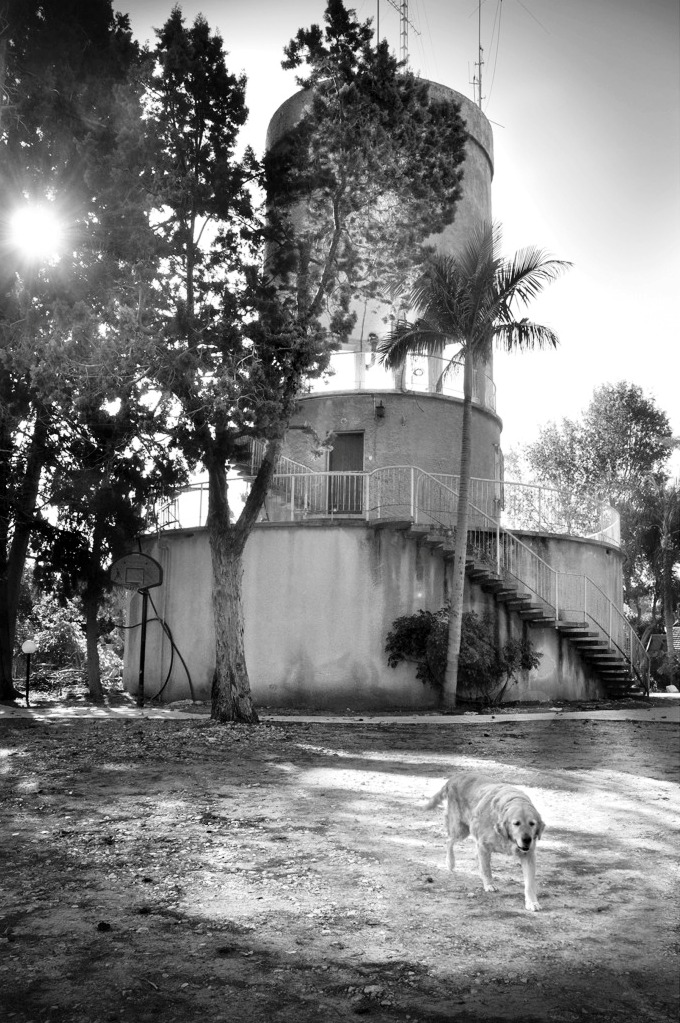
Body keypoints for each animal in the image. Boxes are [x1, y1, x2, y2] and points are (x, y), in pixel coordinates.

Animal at [425, 773, 545, 911]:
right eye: (516, 823)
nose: (527, 840)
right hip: (460, 829)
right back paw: (450, 862)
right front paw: (489, 885)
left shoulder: (528, 854)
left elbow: (529, 883)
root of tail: (455, 777)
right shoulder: (483, 845)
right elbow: (487, 868)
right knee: (449, 841)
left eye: (532, 823)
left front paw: (532, 902)